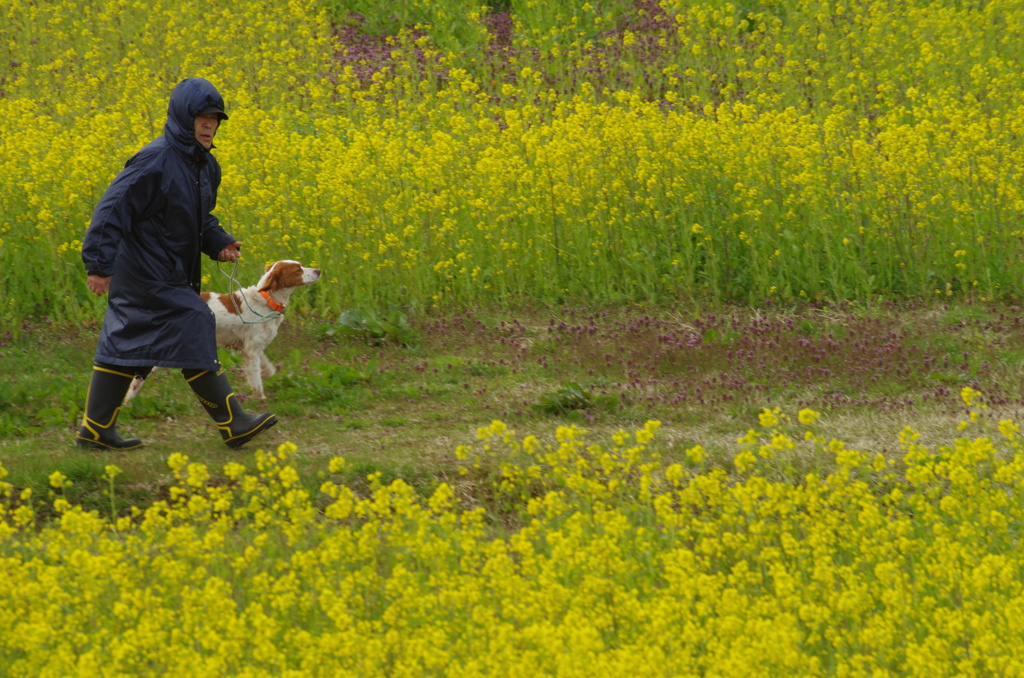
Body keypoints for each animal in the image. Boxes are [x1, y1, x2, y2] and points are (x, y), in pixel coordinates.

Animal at [126, 260, 321, 403]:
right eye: (298, 270)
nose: (318, 270)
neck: (266, 300)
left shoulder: (252, 348)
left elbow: (268, 369)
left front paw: (264, 375)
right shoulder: (251, 351)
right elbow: (256, 380)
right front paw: (260, 399)